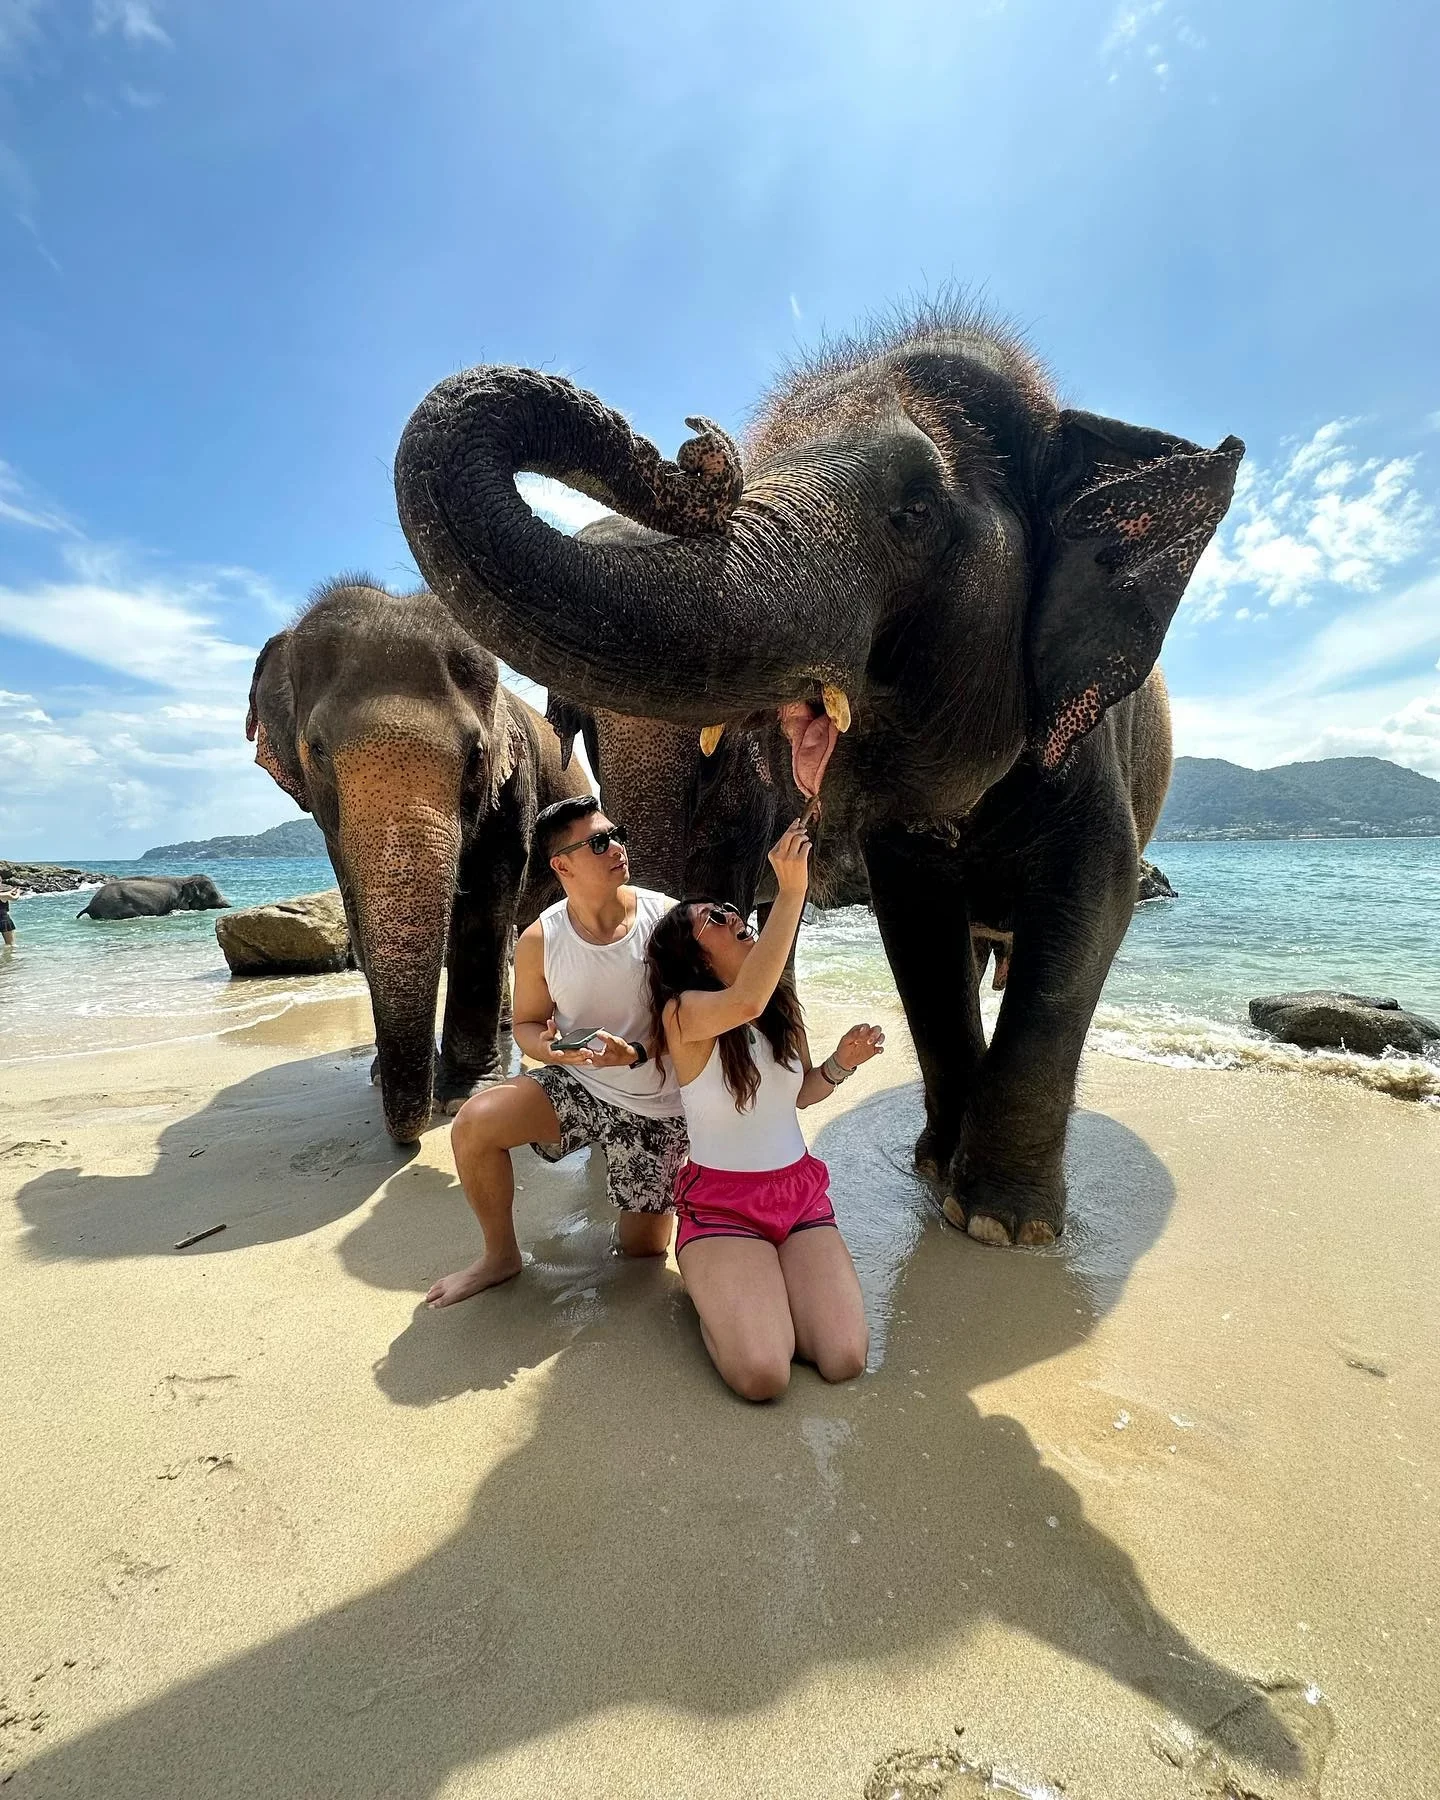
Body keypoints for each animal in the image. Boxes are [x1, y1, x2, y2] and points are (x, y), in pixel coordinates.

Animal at [248, 576, 590, 1137]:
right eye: (316, 750)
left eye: (476, 755)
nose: (404, 1136)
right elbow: (356, 910)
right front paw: (382, 1077)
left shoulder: (514, 786)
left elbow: (484, 910)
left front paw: (463, 1097)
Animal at [394, 302, 1238, 1245]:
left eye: (915, 510)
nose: (699, 449)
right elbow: (918, 929)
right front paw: (940, 1172)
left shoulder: (1086, 736)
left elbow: (1096, 894)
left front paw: (998, 1225)